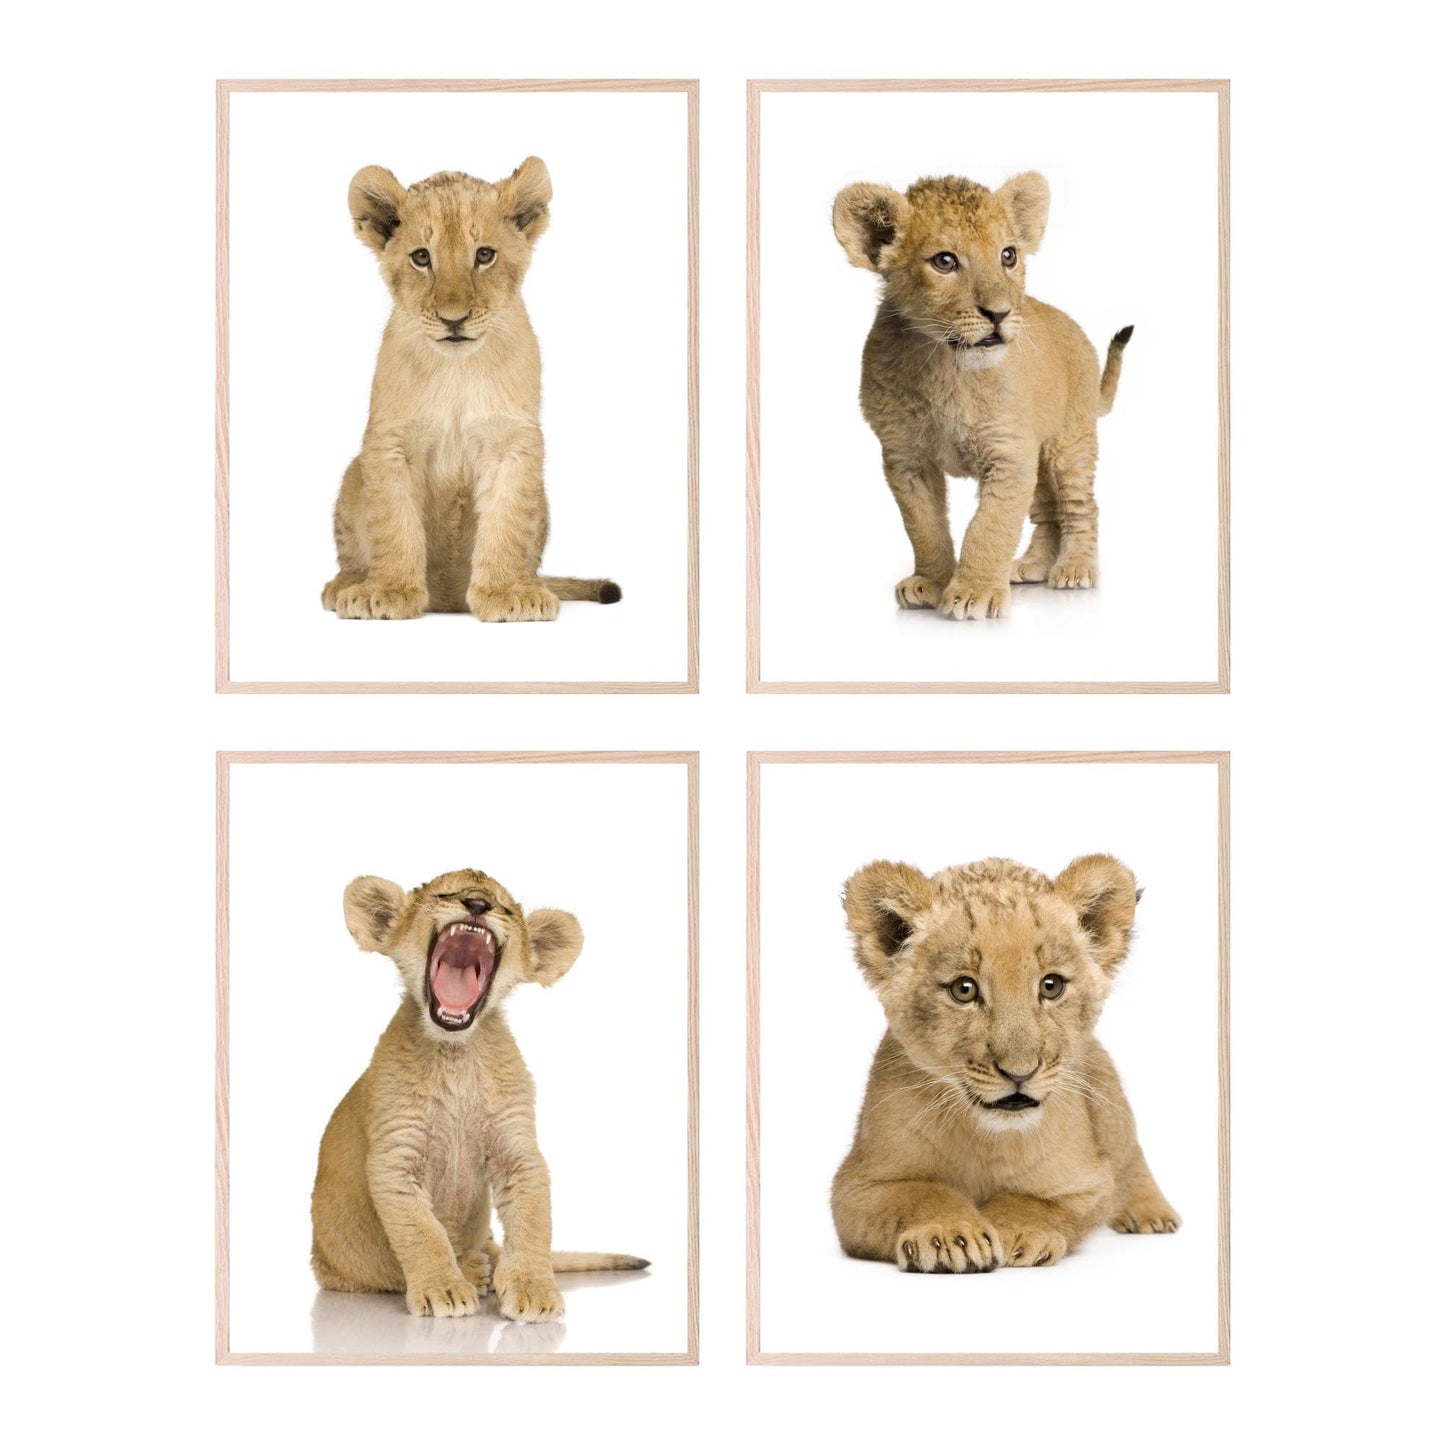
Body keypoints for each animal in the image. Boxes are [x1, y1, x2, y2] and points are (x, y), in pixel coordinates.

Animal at [310, 869, 648, 1321]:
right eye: (444, 894)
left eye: (505, 908)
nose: (476, 904)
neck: (456, 1054)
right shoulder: (394, 1155)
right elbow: (421, 1231)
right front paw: (443, 1289)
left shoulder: (517, 1146)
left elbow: (533, 1221)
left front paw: (534, 1290)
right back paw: (472, 1269)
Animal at [321, 161, 621, 622]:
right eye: (421, 257)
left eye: (484, 255)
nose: (453, 319)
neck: (456, 370)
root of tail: (447, 600)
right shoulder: (390, 441)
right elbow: (392, 521)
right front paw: (388, 591)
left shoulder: (512, 441)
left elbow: (508, 522)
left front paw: (507, 593)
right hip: (355, 470)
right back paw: (347, 584)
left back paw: (531, 583)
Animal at [832, 172, 1131, 619]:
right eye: (945, 261)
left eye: (1008, 255)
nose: (1000, 313)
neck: (946, 365)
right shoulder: (906, 459)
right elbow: (924, 526)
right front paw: (932, 582)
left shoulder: (1009, 454)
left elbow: (991, 526)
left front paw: (975, 593)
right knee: (1047, 512)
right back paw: (1031, 566)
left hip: (1069, 443)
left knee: (1079, 506)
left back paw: (1075, 568)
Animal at [833, 854, 1179, 1272]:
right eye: (964, 989)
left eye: (1051, 986)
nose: (1020, 1072)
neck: (987, 1137)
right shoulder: (856, 1186)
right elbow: (920, 1193)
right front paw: (949, 1236)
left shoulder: (1088, 1181)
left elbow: (1037, 1202)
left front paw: (1015, 1231)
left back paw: (1151, 1212)